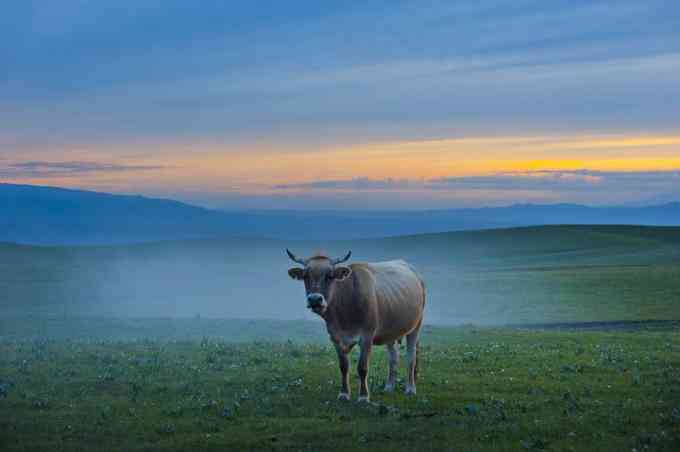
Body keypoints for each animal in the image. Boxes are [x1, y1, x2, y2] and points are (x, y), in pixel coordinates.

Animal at [286, 249, 424, 400]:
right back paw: (389, 386)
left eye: (330, 276)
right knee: (393, 357)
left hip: (416, 325)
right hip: (391, 330)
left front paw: (363, 396)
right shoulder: (335, 337)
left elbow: (362, 368)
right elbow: (343, 367)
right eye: (306, 276)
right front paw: (344, 393)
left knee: (411, 356)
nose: (315, 299)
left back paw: (410, 388)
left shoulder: (367, 336)